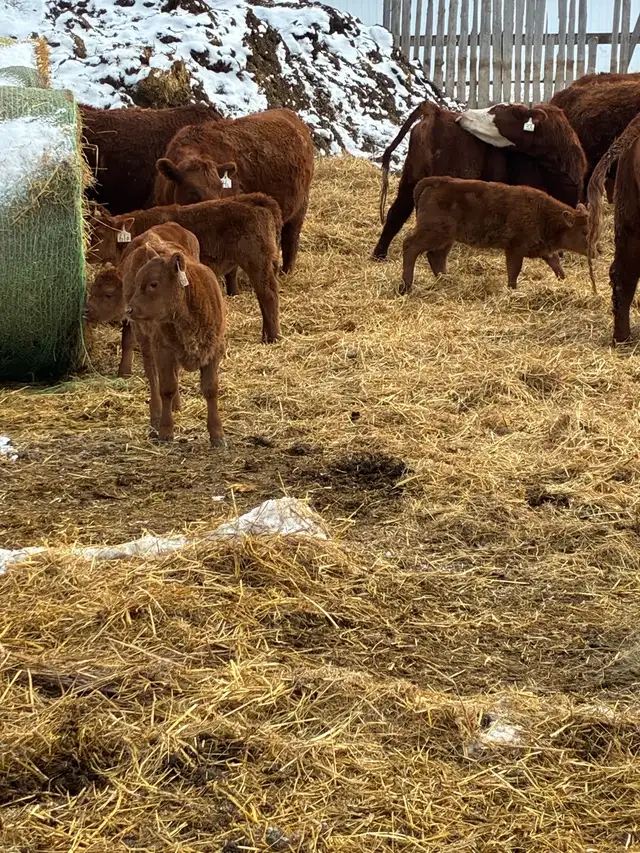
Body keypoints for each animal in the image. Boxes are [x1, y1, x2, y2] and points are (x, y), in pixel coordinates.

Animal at [153, 108, 314, 277]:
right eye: (192, 190)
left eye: (220, 188)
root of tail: (288, 113)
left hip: (299, 209)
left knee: (291, 239)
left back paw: (286, 272)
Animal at [373, 101, 586, 262]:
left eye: (497, 111)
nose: (464, 115)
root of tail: (436, 112)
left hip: (410, 179)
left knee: (395, 215)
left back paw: (379, 255)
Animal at [401, 177, 590, 295]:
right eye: (584, 232)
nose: (595, 250)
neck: (541, 213)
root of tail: (433, 182)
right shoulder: (514, 248)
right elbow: (514, 271)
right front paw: (512, 290)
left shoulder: (544, 250)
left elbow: (556, 265)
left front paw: (564, 281)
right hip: (434, 233)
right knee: (410, 246)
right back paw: (407, 287)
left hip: (447, 238)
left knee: (436, 257)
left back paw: (446, 281)